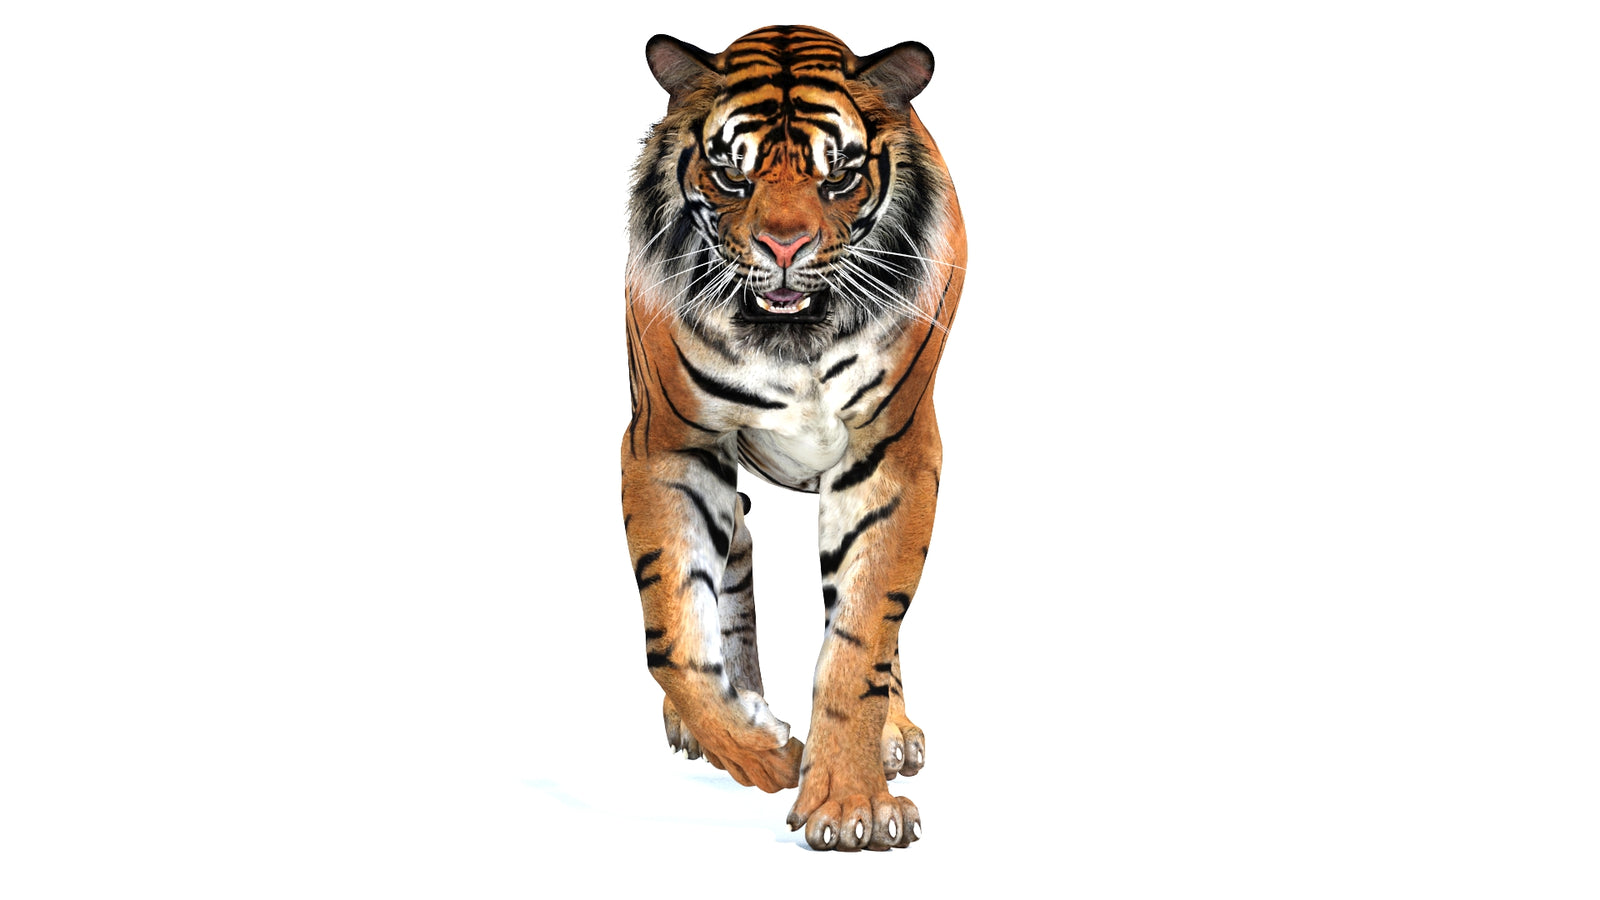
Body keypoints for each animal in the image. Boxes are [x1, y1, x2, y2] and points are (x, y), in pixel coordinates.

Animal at [621, 25, 966, 852]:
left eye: (837, 176)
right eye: (730, 175)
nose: (784, 247)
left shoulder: (894, 455)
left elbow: (861, 637)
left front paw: (850, 803)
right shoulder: (666, 445)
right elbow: (672, 634)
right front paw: (763, 751)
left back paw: (893, 733)